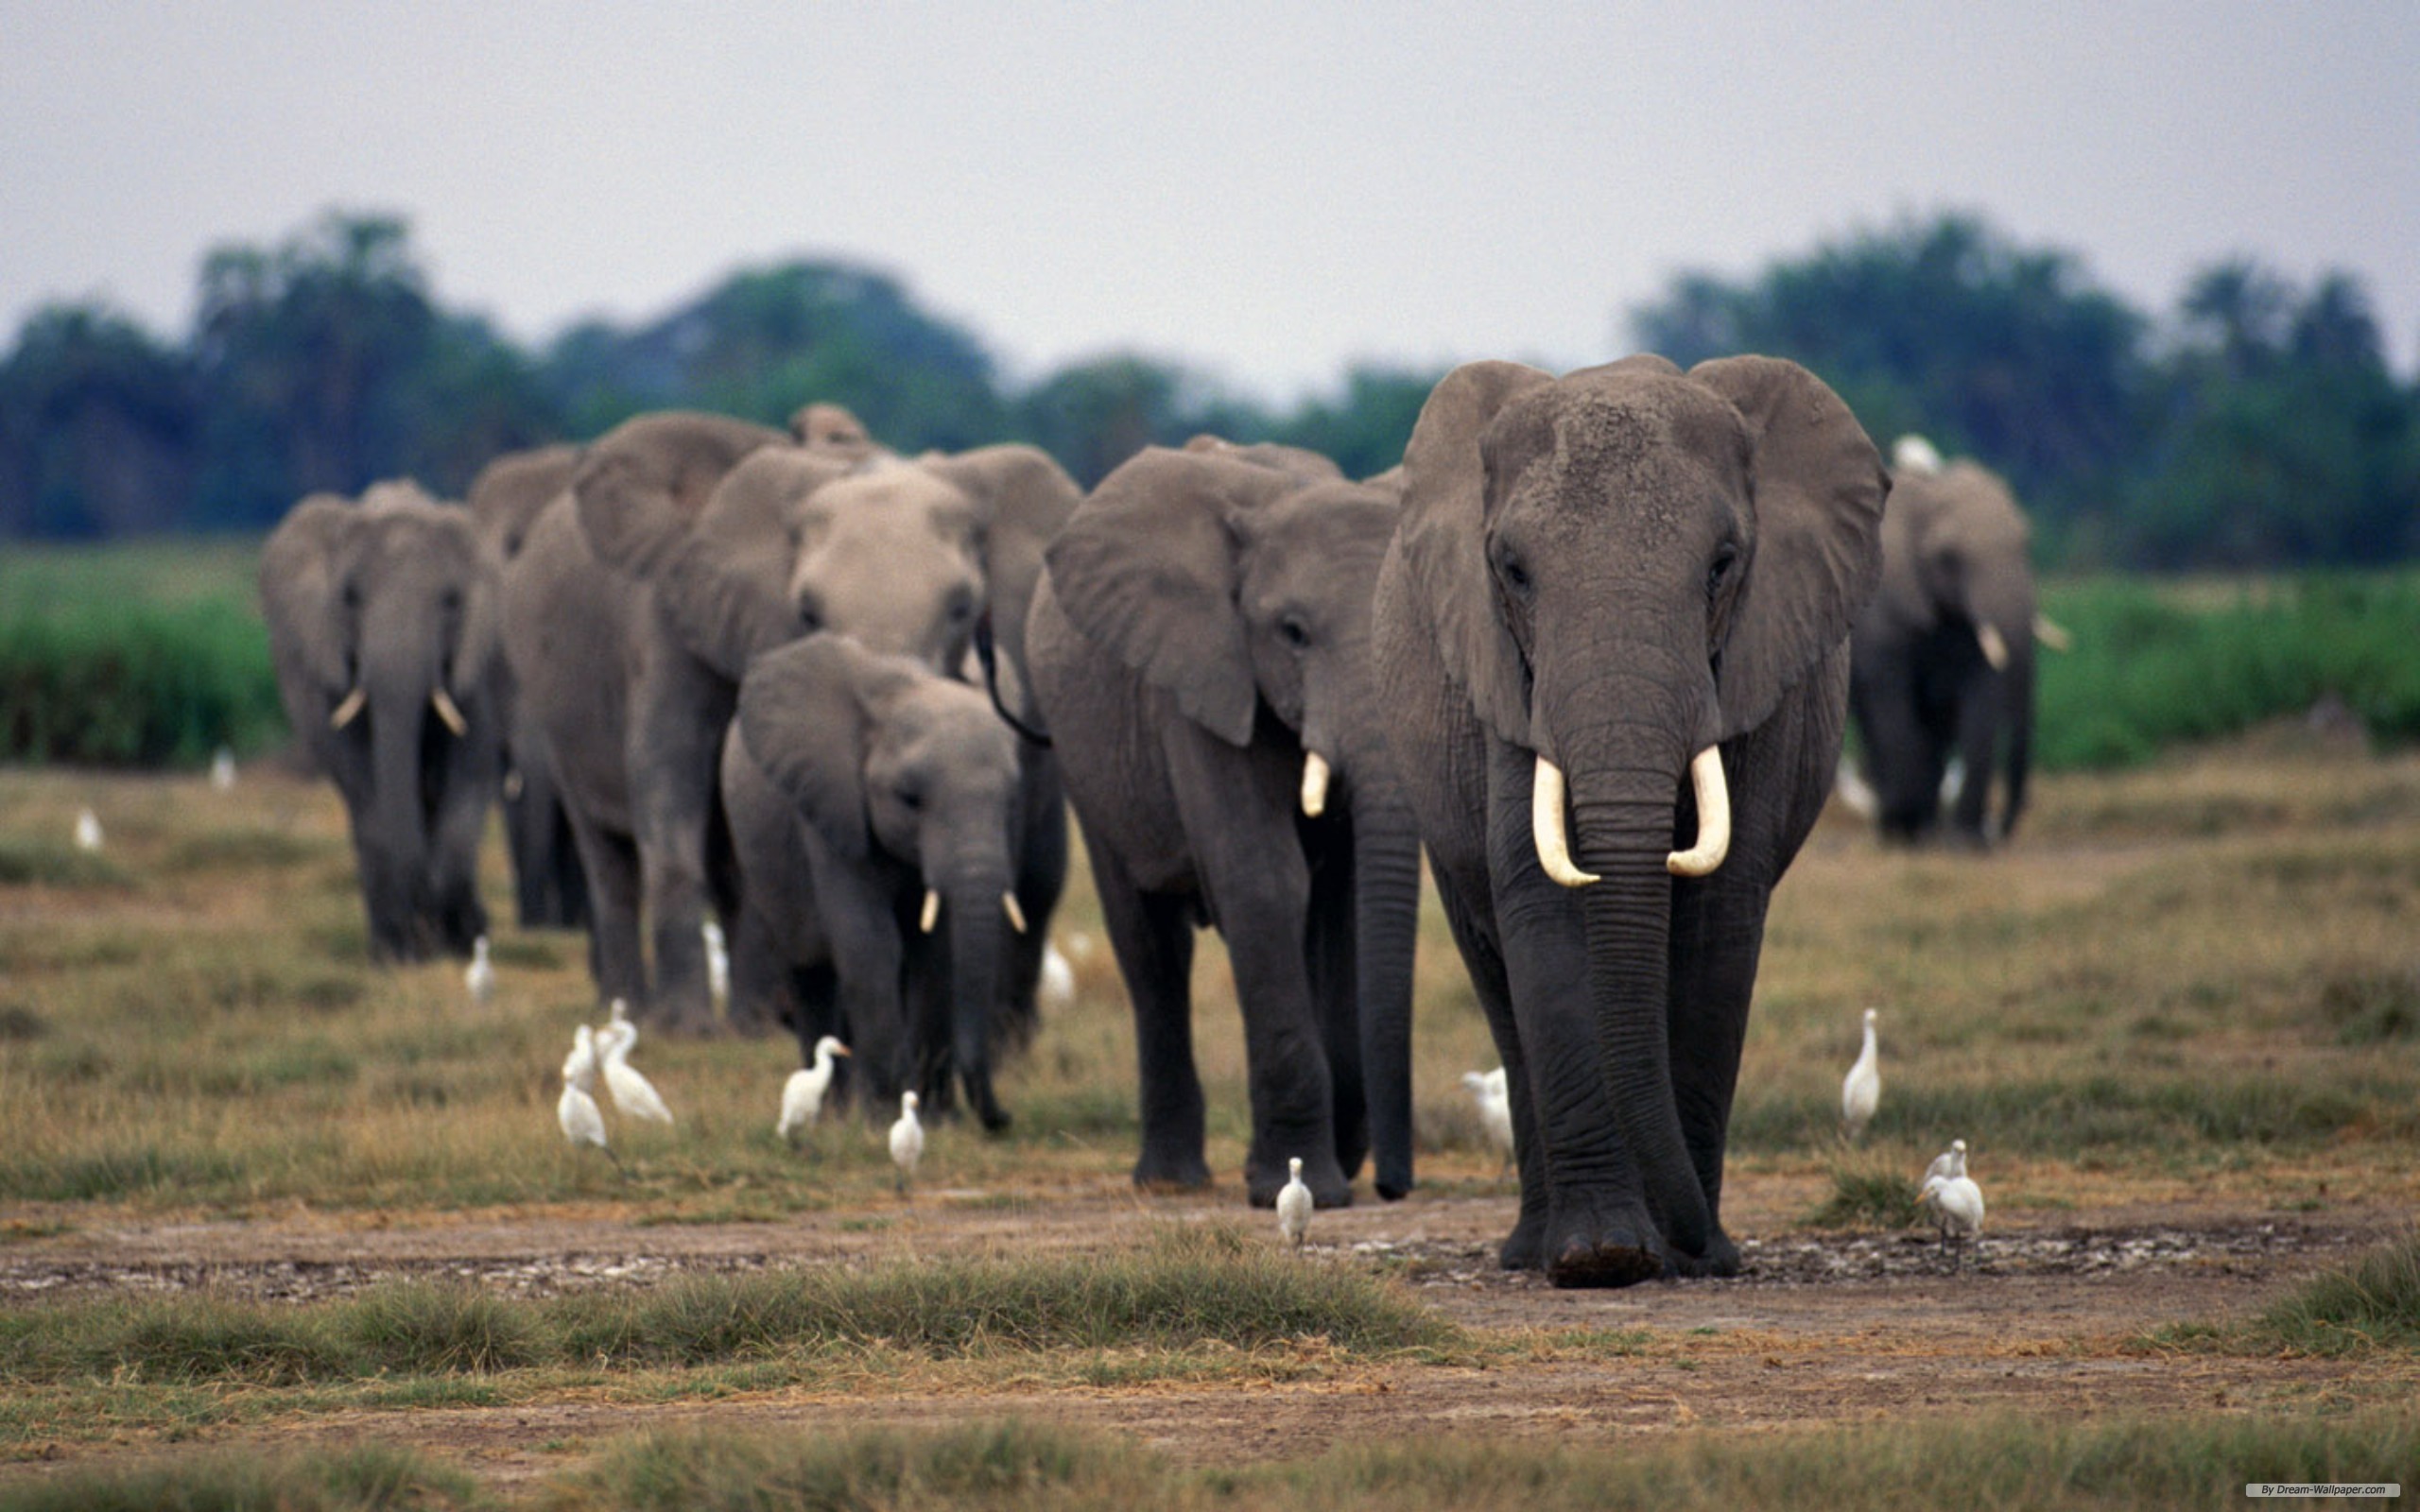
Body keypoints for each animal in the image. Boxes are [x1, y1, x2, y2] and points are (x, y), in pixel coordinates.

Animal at [261, 480, 508, 962]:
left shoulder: (482, 659)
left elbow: (471, 769)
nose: (423, 925)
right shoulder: (327, 665)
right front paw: (398, 954)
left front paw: (459, 940)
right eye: (350, 597)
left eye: (451, 601)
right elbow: (361, 780)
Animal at [723, 633, 1037, 1129]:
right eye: (909, 799)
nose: (1002, 1118)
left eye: (1010, 801)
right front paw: (885, 1117)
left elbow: (938, 956)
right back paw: (832, 1115)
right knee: (809, 971)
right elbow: (869, 945)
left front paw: (936, 1119)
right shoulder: (830, 805)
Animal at [1026, 444, 1420, 1209]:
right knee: (1149, 943)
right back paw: (1168, 1178)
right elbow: (1264, 880)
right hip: (1082, 753)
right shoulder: (1202, 679)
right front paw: (1299, 1189)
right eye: (1292, 633)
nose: (1393, 1187)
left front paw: (1323, 1173)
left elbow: (1343, 900)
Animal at [1371, 354, 1889, 1287]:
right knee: (1496, 979)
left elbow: (1720, 916)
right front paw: (1603, 1257)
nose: (1700, 1245)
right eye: (1512, 570)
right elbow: (1540, 896)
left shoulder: (1758, 671)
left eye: (1723, 565)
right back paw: (1529, 1251)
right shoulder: (1509, 683)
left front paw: (1690, 1258)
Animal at [1847, 450, 2039, 847]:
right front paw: (1906, 829)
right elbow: (1890, 700)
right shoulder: (1884, 611)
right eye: (1949, 557)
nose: (1998, 832)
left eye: (2026, 544)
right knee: (1876, 721)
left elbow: (1980, 696)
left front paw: (1964, 845)